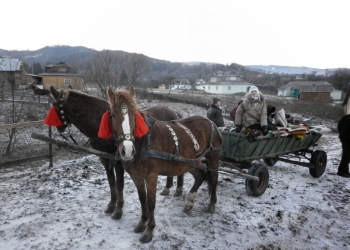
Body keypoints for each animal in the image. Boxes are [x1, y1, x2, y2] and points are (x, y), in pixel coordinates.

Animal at [48, 85, 183, 219]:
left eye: (54, 104)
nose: (59, 128)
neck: (98, 121)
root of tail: (174, 113)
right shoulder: (104, 159)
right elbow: (111, 181)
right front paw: (111, 205)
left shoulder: (119, 161)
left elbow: (119, 184)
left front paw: (118, 210)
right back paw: (167, 188)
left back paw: (178, 189)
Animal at [107, 86, 221, 242]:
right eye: (113, 115)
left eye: (134, 115)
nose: (128, 150)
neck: (144, 141)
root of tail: (209, 121)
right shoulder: (136, 177)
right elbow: (142, 199)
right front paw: (142, 223)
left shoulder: (151, 176)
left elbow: (150, 202)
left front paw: (149, 230)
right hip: (190, 162)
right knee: (201, 176)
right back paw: (189, 201)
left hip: (213, 158)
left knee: (213, 180)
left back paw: (211, 204)